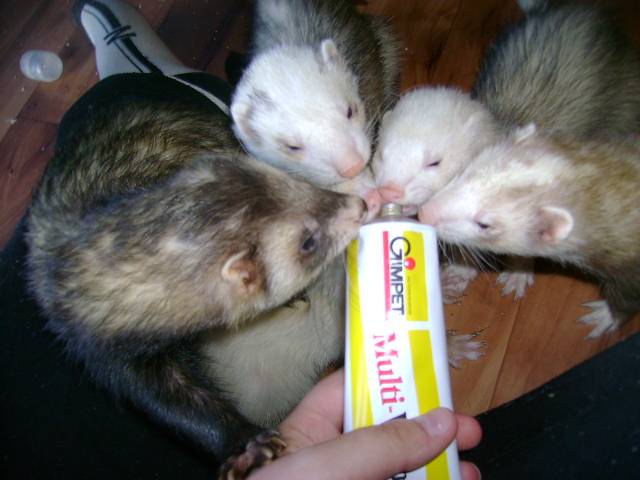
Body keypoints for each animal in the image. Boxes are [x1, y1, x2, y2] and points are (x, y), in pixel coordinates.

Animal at [26, 93, 365, 462]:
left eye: (293, 183)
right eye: (307, 242)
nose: (359, 205)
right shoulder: (106, 350)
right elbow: (175, 404)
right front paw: (250, 441)